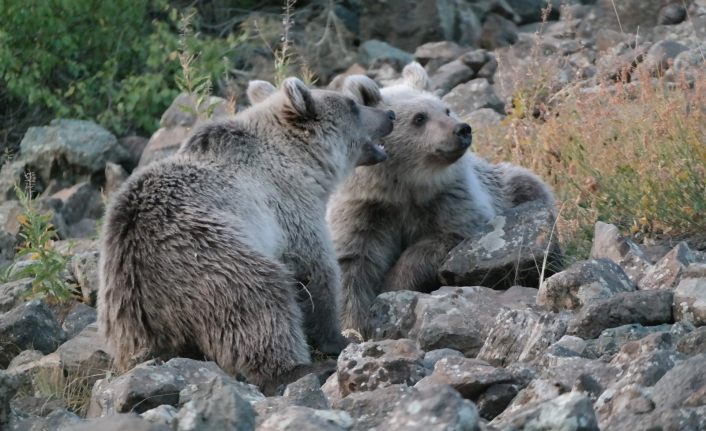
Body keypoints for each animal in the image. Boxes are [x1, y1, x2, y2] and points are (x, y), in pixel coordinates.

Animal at [326, 63, 556, 334]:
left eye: (446, 109)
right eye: (419, 118)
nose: (462, 129)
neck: (402, 187)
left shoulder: (451, 201)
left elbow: (439, 242)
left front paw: (393, 285)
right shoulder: (364, 212)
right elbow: (352, 264)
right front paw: (352, 326)